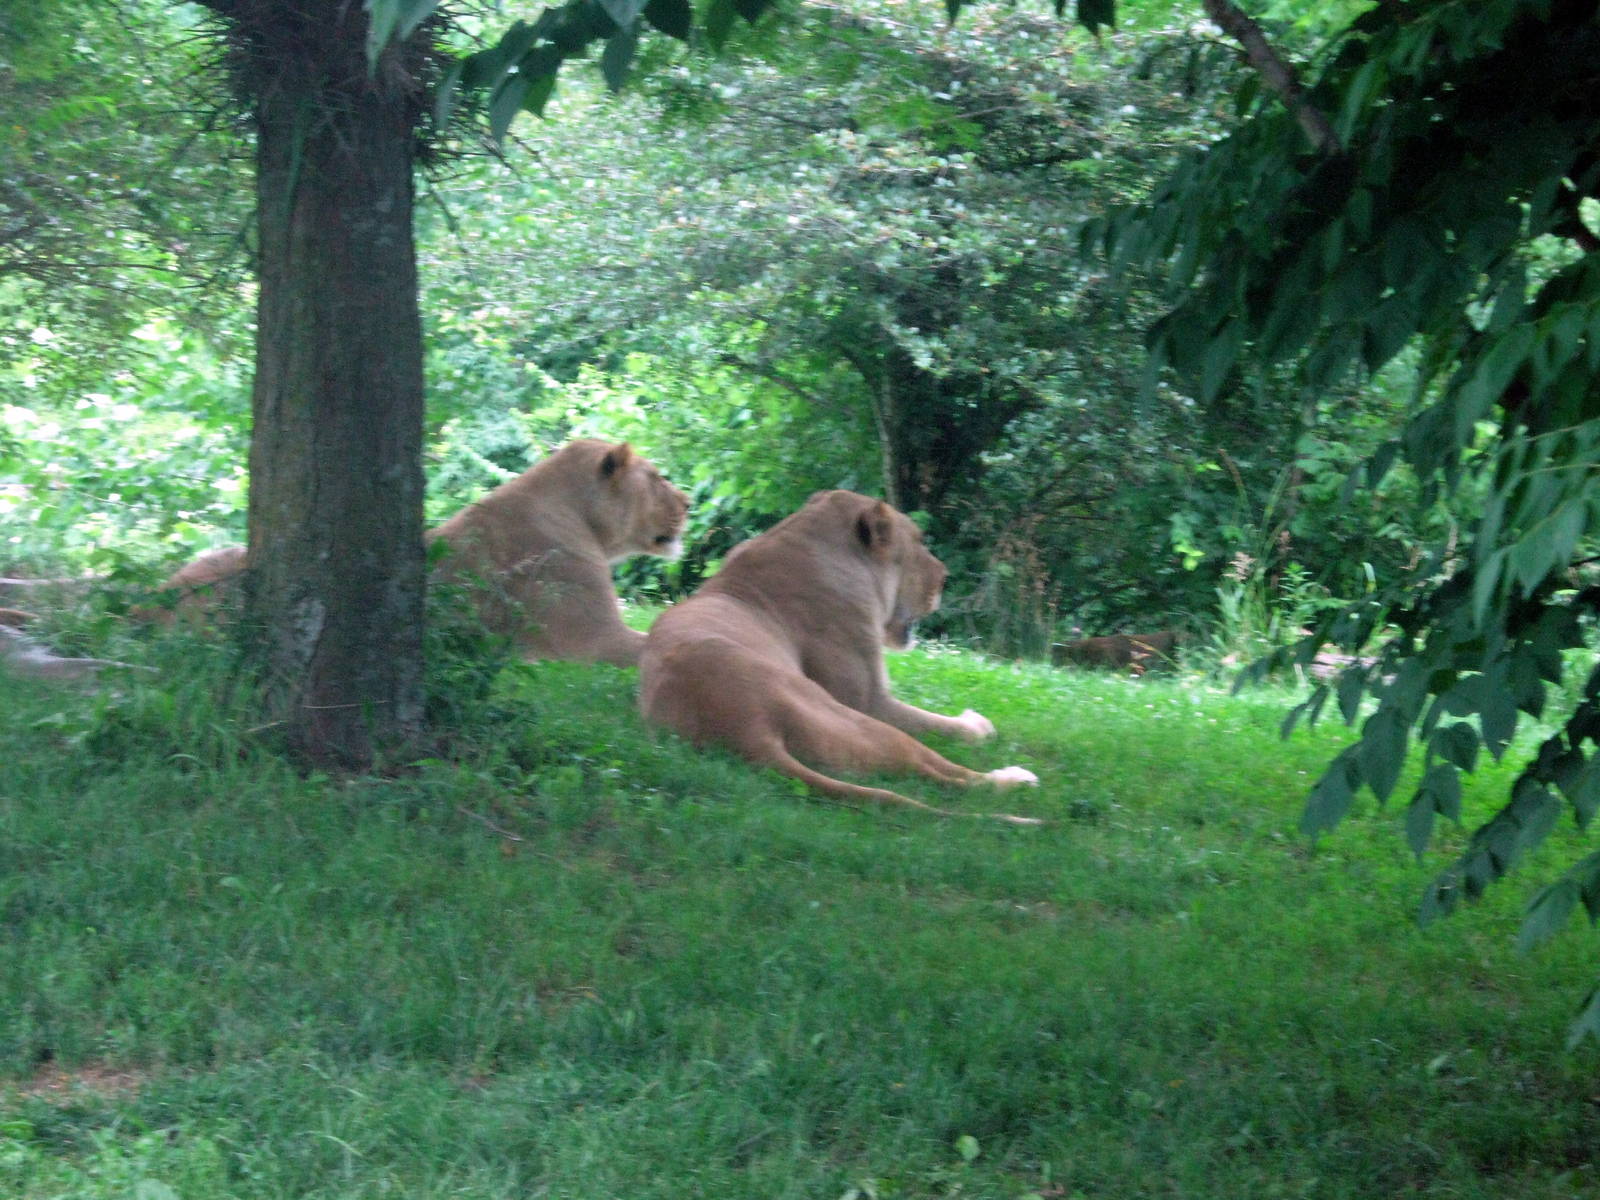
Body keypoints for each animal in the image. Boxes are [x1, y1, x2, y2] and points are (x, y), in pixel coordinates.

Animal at [155, 439, 688, 667]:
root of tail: (155, 597)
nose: (688, 501)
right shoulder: (591, 642)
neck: (581, 516)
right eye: (658, 477)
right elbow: (654, 641)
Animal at [638, 490, 1042, 824]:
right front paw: (977, 724)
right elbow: (945, 725)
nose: (945, 578)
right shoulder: (870, 700)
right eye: (916, 542)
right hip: (863, 723)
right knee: (951, 775)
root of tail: (745, 728)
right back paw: (1016, 779)